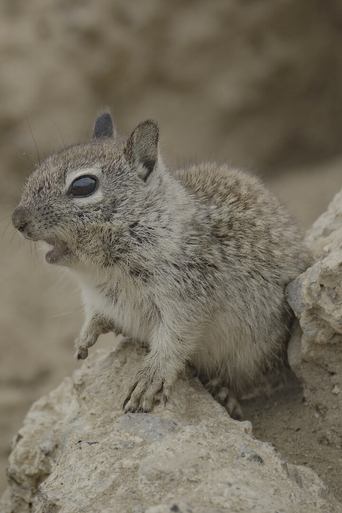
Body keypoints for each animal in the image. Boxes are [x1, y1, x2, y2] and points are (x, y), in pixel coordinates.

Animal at [11, 112, 310, 416]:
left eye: (83, 186)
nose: (16, 219)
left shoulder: (185, 301)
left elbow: (172, 344)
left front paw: (148, 382)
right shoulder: (101, 300)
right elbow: (97, 316)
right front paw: (85, 338)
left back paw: (224, 393)